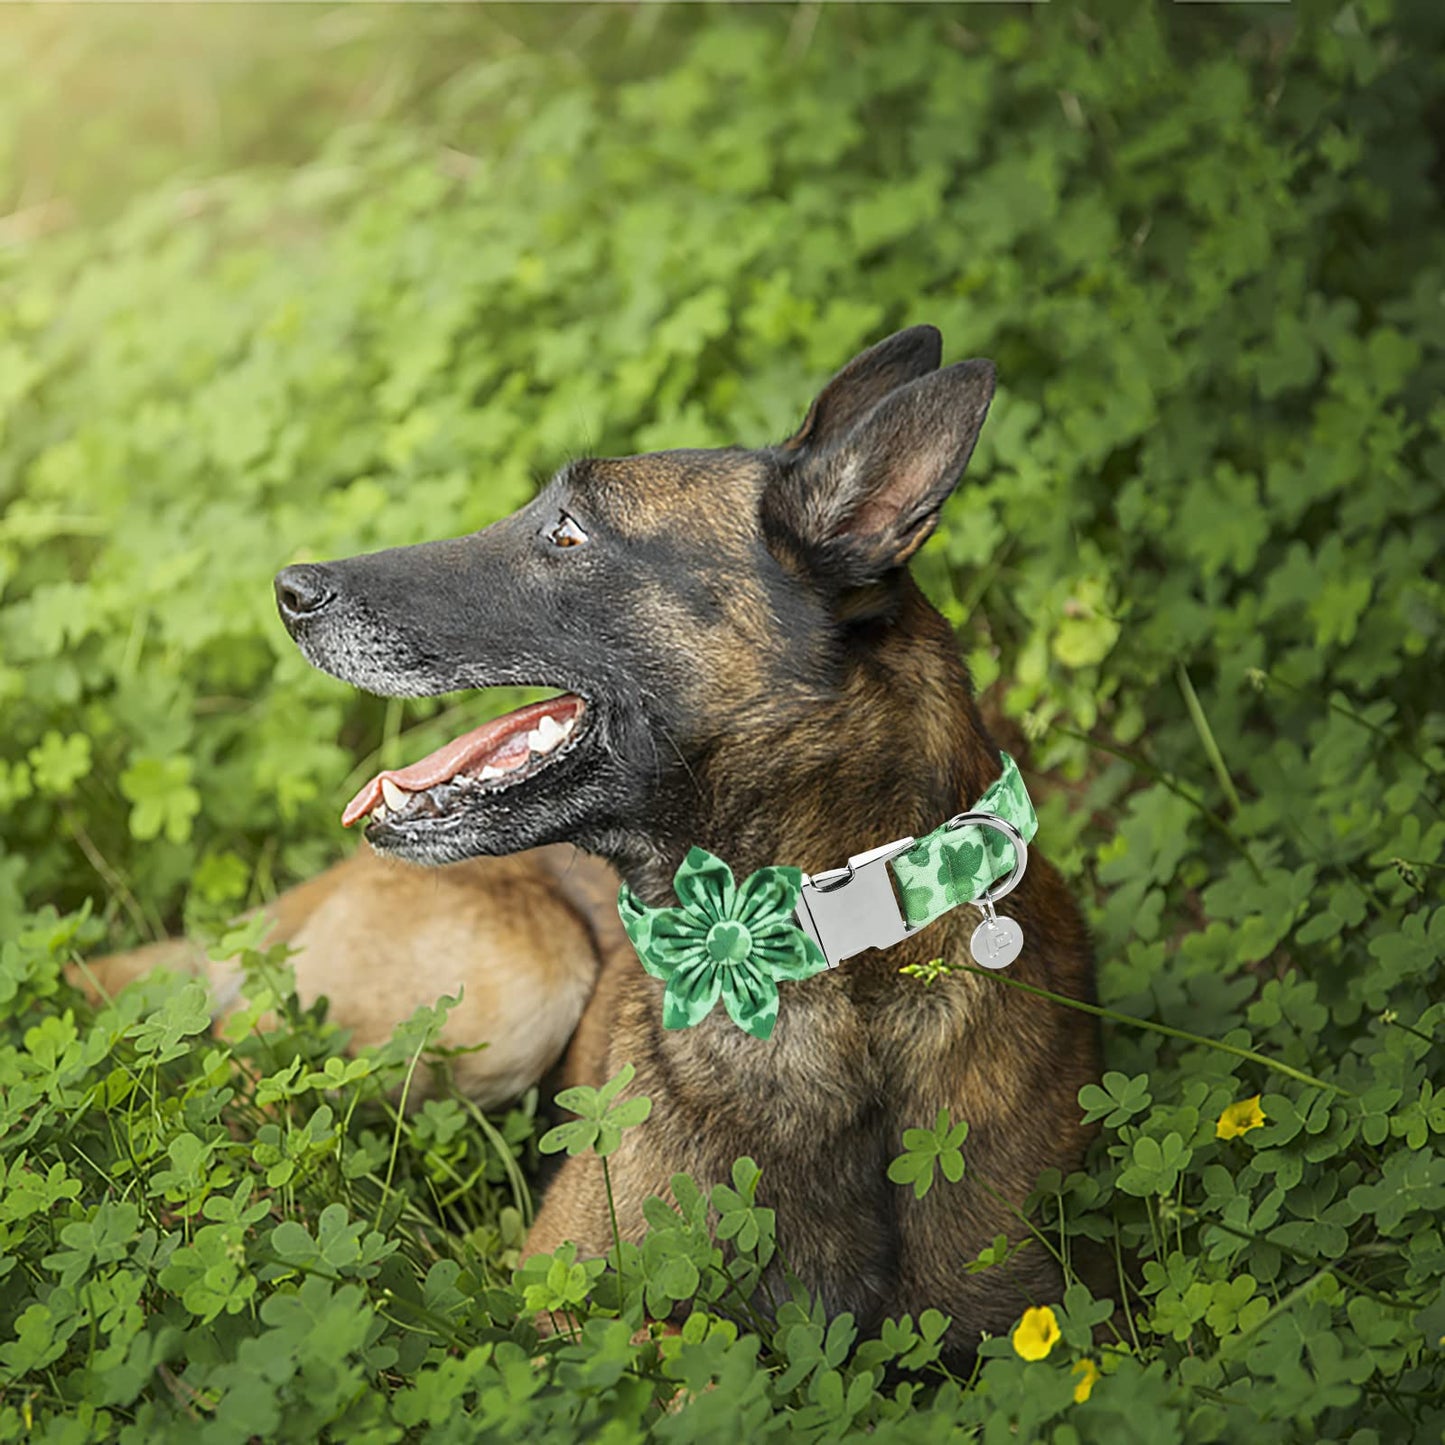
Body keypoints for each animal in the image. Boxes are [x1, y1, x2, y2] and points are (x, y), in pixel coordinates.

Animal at [262, 330, 1103, 1364]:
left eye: (569, 531)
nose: (289, 589)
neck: (833, 970)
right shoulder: (556, 1304)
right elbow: (679, 1361)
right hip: (516, 990)